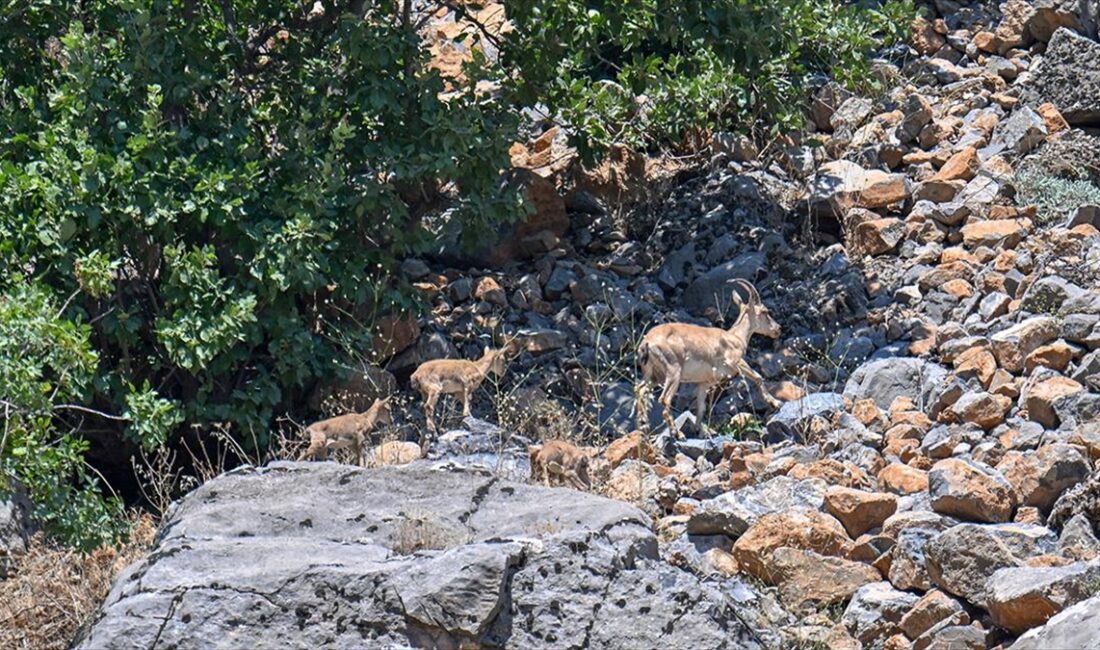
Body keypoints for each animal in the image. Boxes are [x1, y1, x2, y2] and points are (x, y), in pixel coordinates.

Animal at [638, 281, 783, 437]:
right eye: (765, 311)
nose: (778, 329)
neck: (736, 337)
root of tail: (647, 341)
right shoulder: (736, 362)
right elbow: (758, 377)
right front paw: (775, 403)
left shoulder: (704, 382)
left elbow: (701, 406)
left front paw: (701, 431)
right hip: (673, 371)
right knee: (664, 399)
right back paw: (677, 433)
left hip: (654, 376)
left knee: (640, 391)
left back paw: (643, 427)